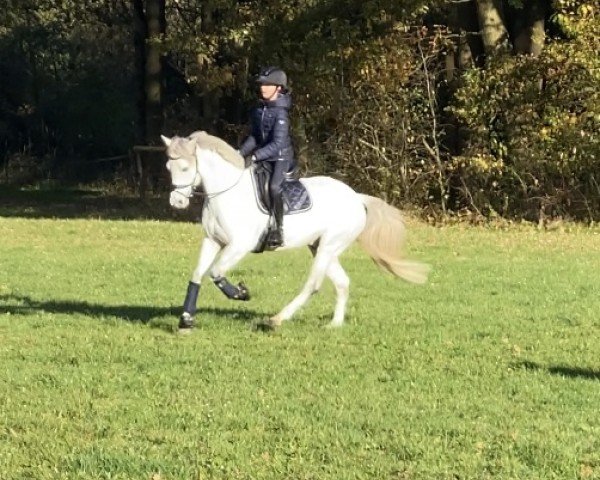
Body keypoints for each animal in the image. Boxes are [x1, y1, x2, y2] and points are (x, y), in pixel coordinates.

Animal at [162, 131, 428, 330]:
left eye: (185, 168)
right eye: (168, 167)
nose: (177, 202)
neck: (227, 192)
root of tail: (356, 198)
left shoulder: (240, 245)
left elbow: (216, 272)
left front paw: (241, 293)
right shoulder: (212, 240)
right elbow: (197, 274)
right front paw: (186, 320)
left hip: (329, 245)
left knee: (313, 285)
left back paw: (277, 319)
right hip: (320, 247)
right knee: (342, 282)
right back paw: (334, 324)